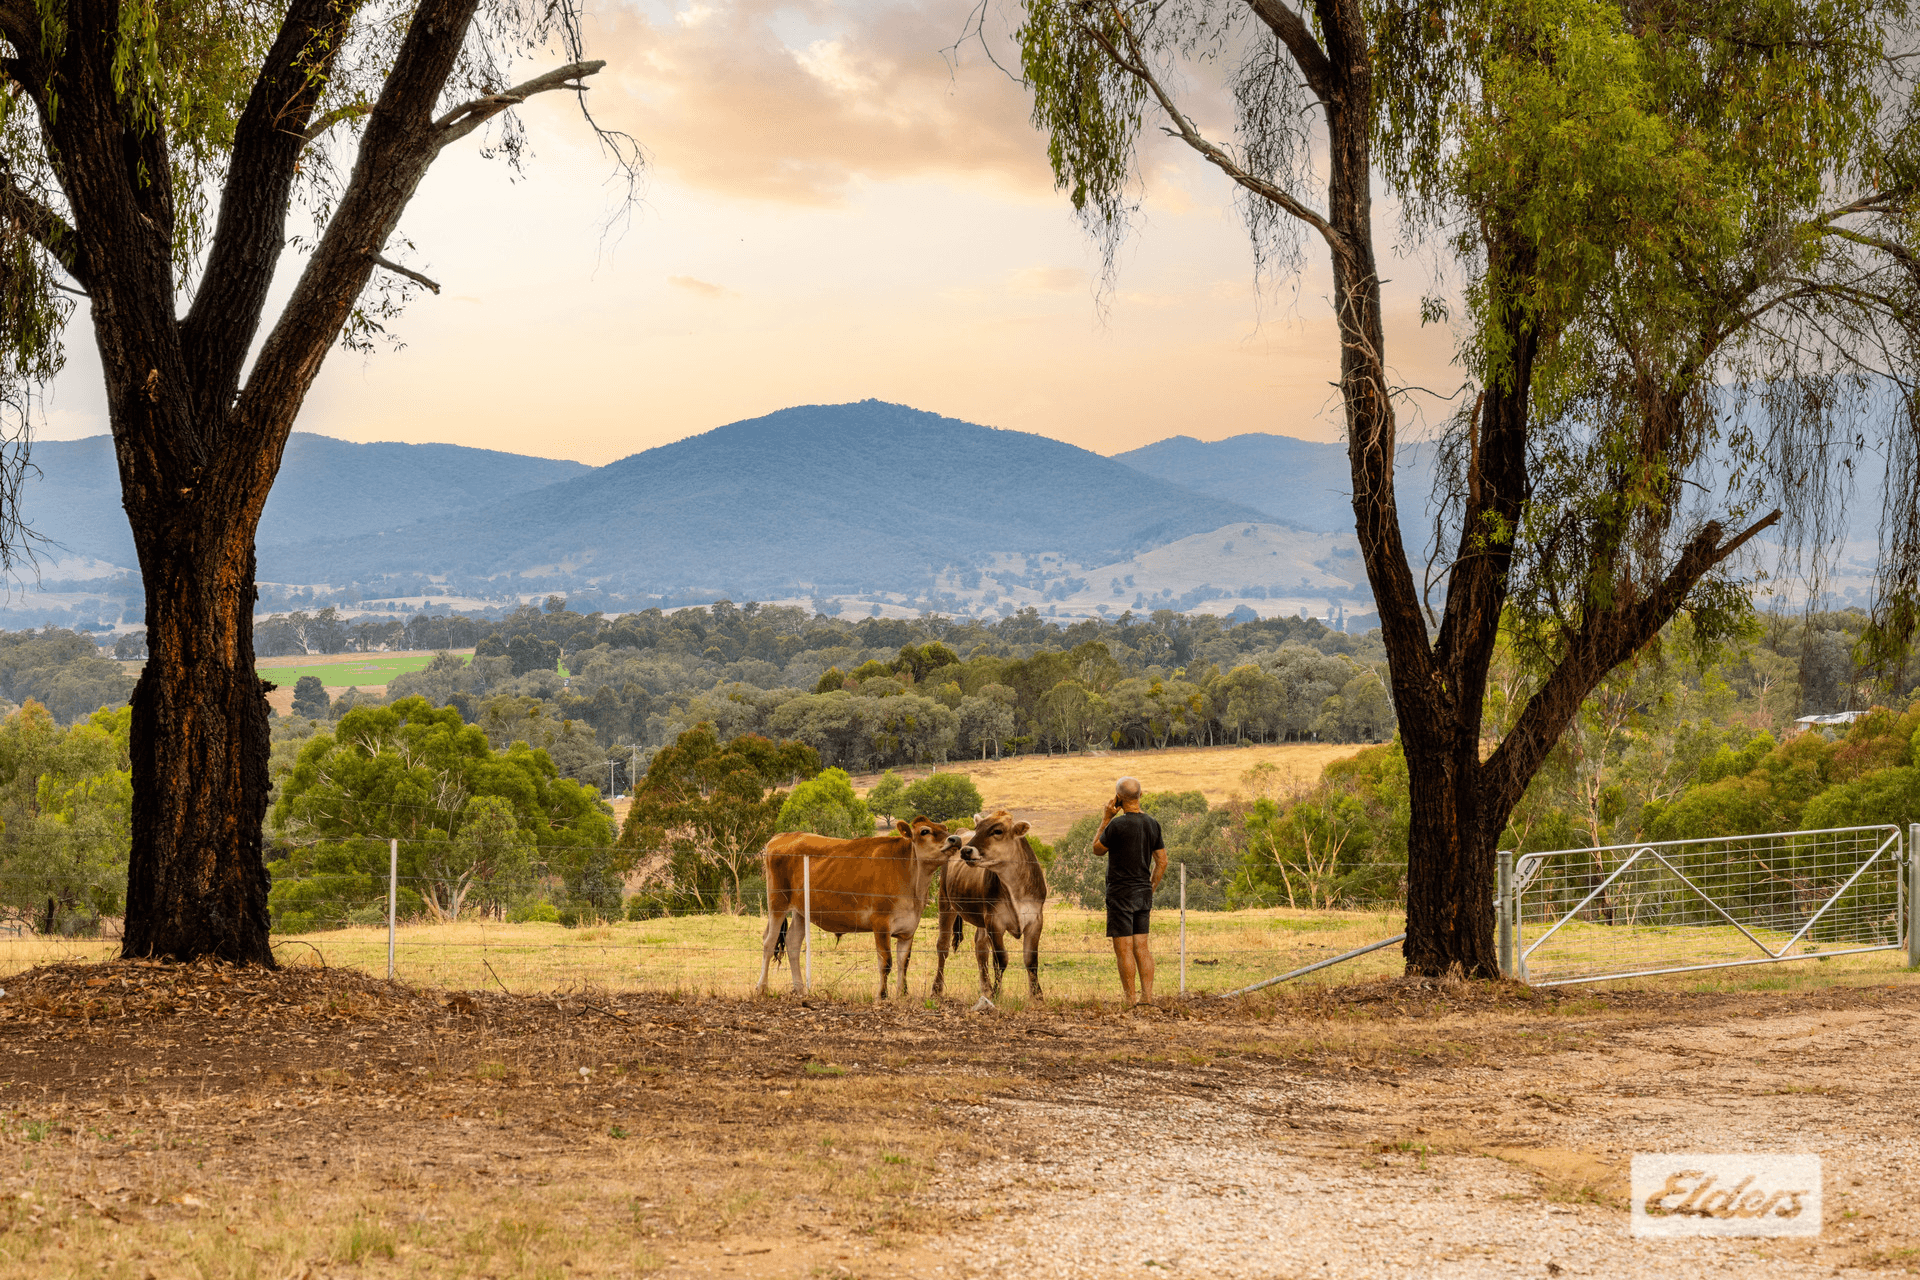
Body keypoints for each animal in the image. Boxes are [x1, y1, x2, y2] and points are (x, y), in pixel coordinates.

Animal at [752, 821, 956, 997]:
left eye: (945, 828)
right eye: (925, 831)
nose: (955, 839)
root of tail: (783, 836)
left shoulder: (908, 929)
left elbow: (903, 962)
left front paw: (901, 994)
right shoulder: (881, 924)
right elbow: (886, 962)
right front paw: (882, 995)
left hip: (801, 910)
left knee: (793, 942)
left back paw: (801, 989)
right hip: (777, 902)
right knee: (769, 942)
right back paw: (762, 987)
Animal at [933, 817, 1052, 1005]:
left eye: (998, 831)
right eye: (978, 829)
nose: (966, 850)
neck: (1015, 887)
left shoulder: (1035, 920)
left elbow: (1031, 960)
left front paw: (1037, 996)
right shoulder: (995, 922)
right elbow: (1001, 959)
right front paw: (997, 993)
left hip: (980, 919)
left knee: (980, 947)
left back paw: (986, 988)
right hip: (946, 902)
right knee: (942, 946)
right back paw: (937, 989)